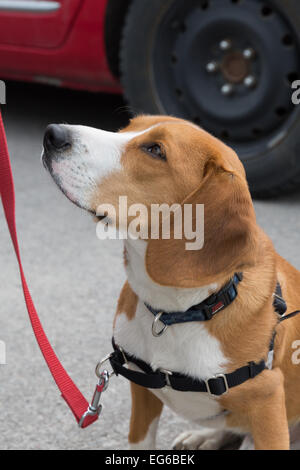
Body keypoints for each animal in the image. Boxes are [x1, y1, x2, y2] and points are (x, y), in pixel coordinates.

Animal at [42, 115, 300, 450]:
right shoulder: (142, 391)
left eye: (155, 150)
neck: (176, 312)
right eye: (126, 127)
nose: (52, 134)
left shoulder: (267, 403)